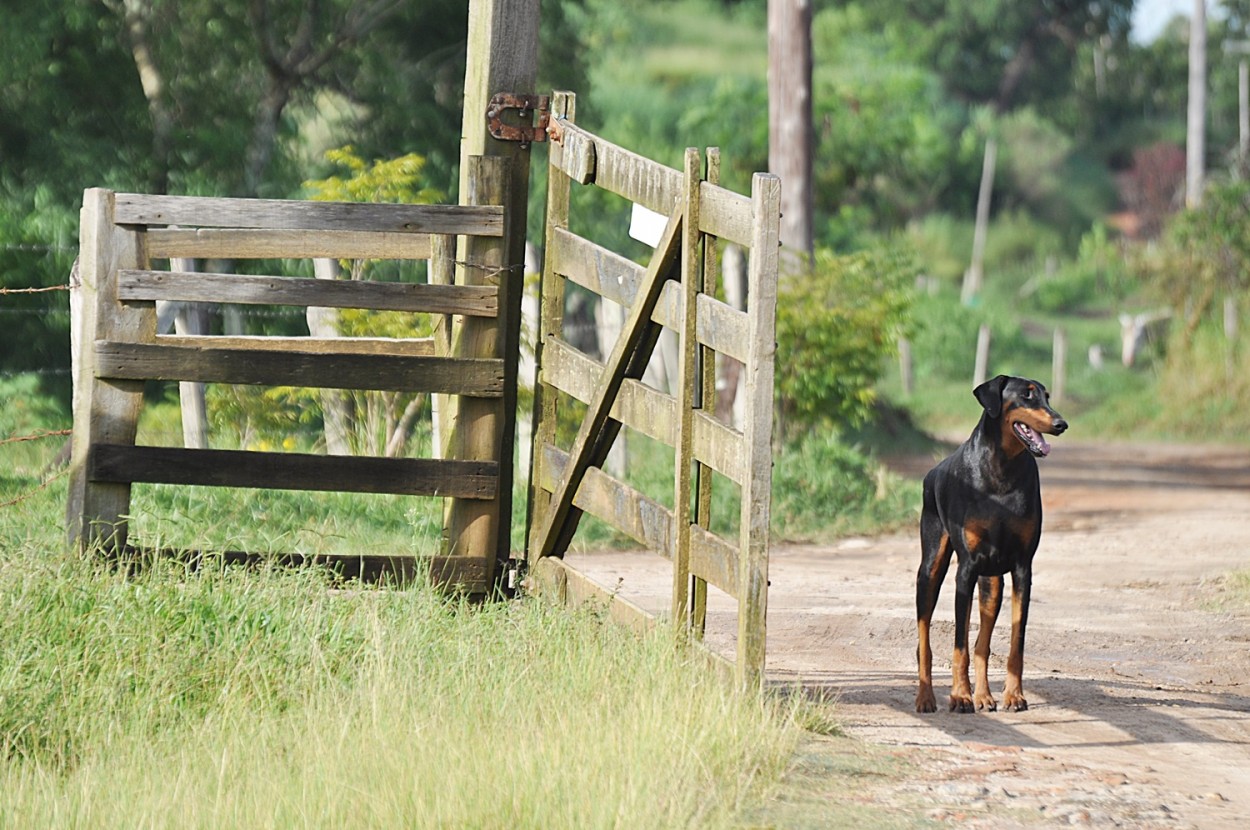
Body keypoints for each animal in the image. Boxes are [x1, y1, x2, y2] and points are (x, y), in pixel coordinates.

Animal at [915, 375, 1070, 715]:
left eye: (1047, 396)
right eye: (1026, 395)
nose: (1061, 423)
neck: (1002, 469)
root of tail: (932, 472)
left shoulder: (1023, 567)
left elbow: (1015, 642)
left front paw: (1014, 695)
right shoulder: (966, 569)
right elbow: (958, 643)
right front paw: (960, 696)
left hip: (993, 582)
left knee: (981, 644)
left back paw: (984, 696)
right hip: (931, 568)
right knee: (925, 640)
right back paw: (926, 697)